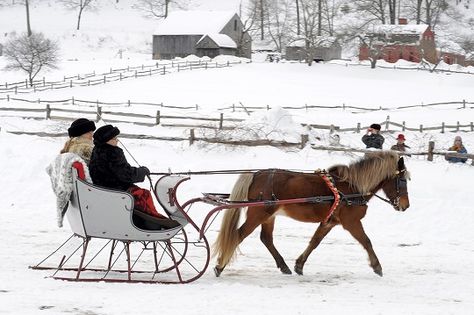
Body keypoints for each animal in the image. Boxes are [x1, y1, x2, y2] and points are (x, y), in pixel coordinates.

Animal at [213, 152, 410, 278]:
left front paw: (299, 265)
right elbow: (366, 241)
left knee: (266, 239)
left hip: (268, 216)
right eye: (402, 180)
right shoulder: (351, 222)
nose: (405, 205)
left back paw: (284, 266)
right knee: (238, 235)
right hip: (258, 214)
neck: (351, 188)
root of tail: (256, 175)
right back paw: (220, 265)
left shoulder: (329, 222)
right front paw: (377, 267)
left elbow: (315, 241)